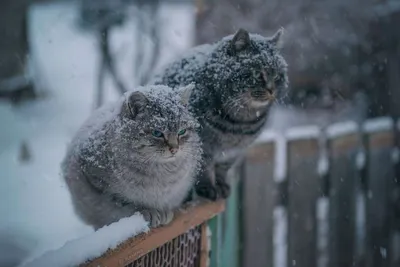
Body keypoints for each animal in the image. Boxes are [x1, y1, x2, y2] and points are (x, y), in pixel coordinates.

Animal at [62, 85, 203, 230]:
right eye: (157, 133)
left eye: (182, 131)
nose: (175, 149)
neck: (160, 172)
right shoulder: (98, 183)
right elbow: (125, 203)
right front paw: (149, 211)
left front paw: (163, 212)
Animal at [152, 28, 288, 201]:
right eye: (258, 74)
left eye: (277, 76)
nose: (272, 90)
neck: (240, 123)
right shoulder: (203, 147)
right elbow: (204, 169)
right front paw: (208, 188)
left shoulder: (234, 152)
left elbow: (223, 169)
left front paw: (221, 185)